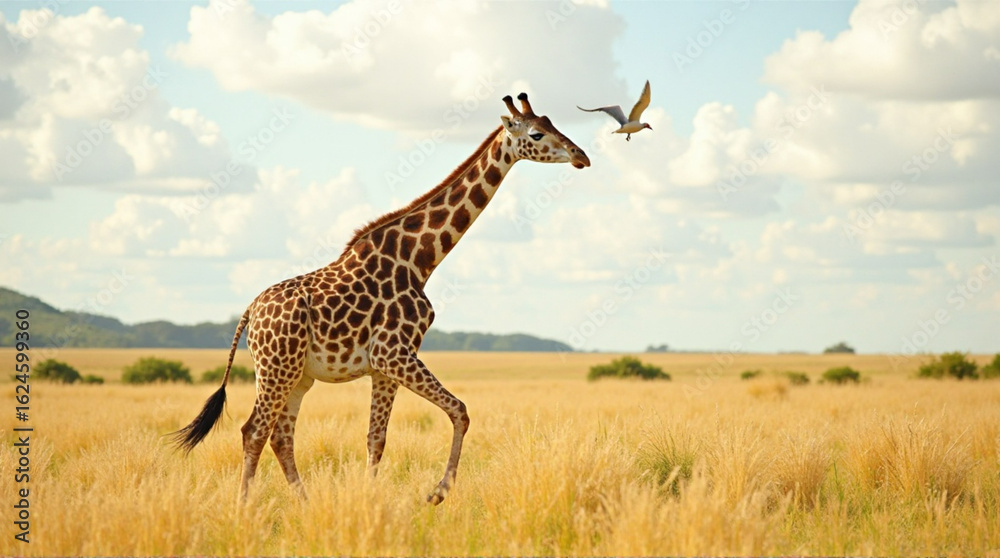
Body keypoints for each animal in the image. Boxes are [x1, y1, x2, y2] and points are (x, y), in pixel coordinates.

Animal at [173, 93, 590, 505]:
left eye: (552, 124)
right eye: (536, 134)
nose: (581, 155)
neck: (420, 260)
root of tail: (250, 311)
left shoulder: (383, 365)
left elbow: (377, 438)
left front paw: (373, 501)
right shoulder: (394, 353)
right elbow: (460, 410)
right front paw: (437, 493)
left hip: (296, 375)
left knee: (280, 435)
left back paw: (305, 504)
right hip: (278, 367)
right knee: (254, 430)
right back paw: (244, 508)